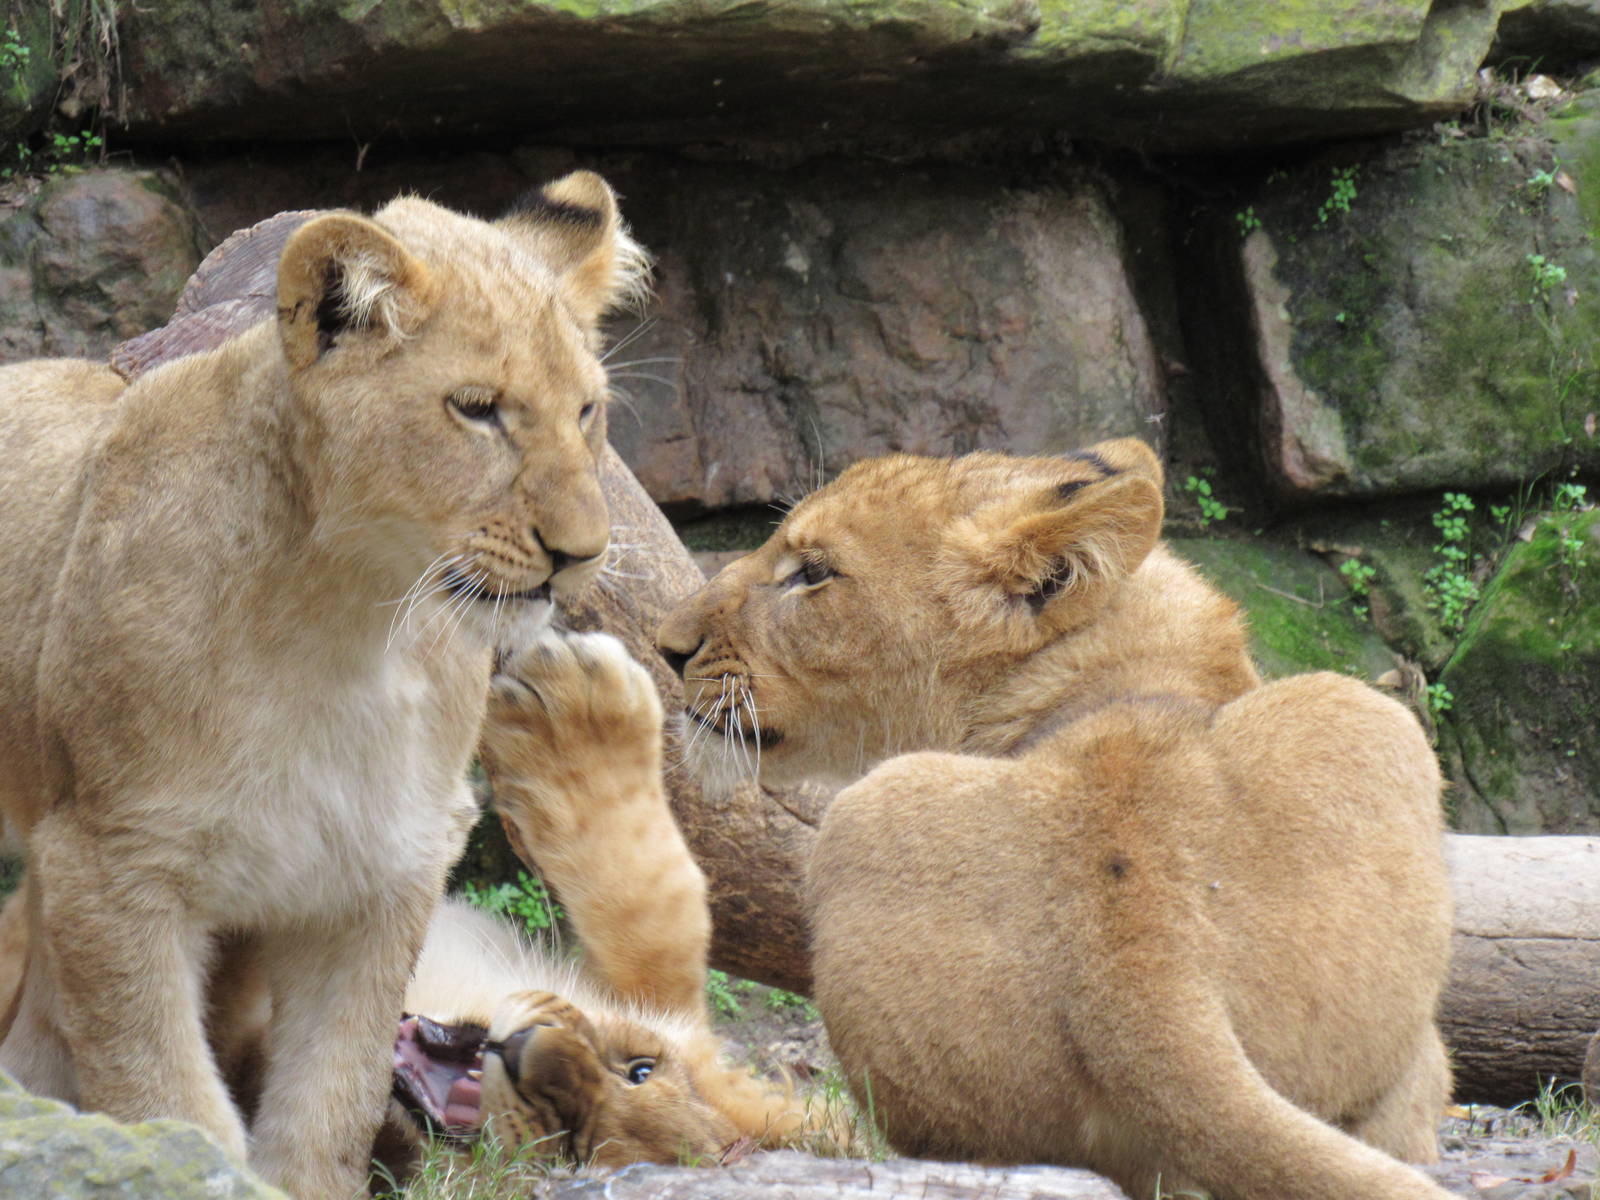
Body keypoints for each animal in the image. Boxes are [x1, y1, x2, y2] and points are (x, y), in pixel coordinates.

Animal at [0, 171, 647, 1199]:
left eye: (587, 411)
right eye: (477, 408)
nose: (581, 554)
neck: (348, 627)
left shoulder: (381, 871)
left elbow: (329, 1103)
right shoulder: (110, 862)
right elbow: (165, 1095)